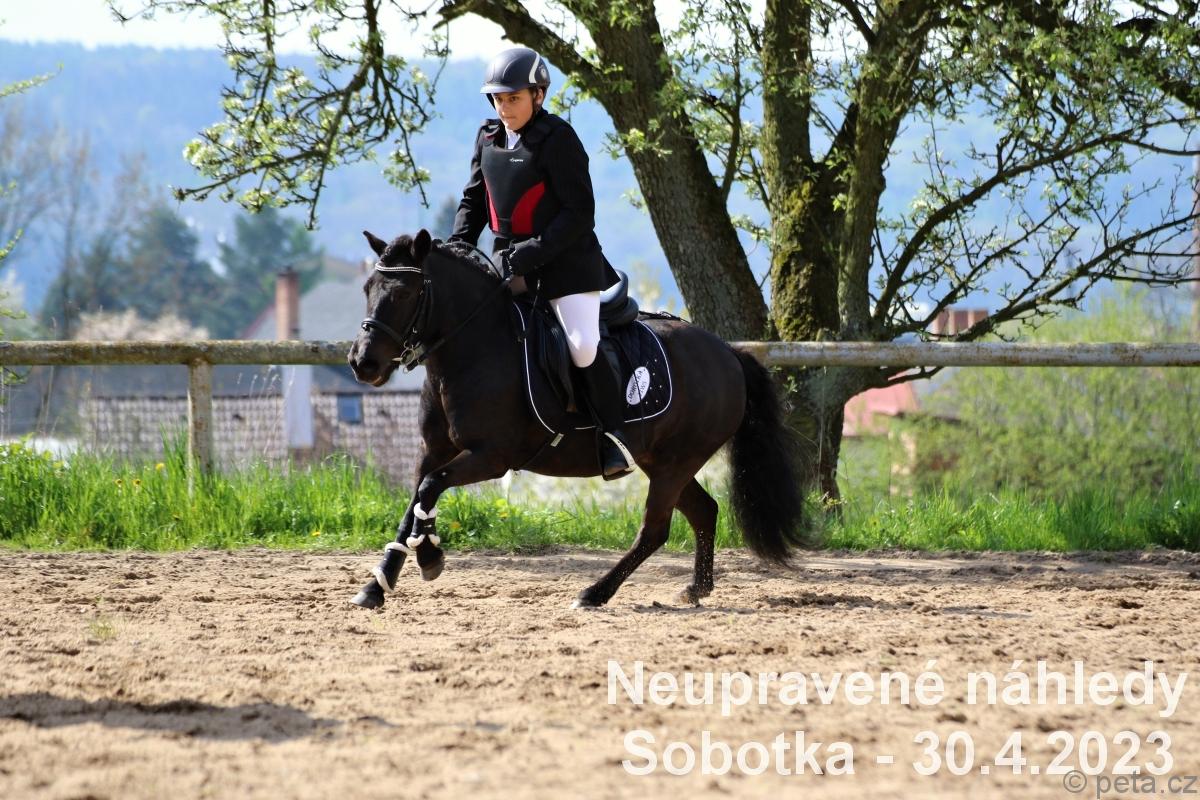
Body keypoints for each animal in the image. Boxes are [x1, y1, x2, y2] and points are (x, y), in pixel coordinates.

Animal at [345, 228, 809, 609]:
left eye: (404, 294)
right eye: (367, 288)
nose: (363, 363)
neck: (472, 349)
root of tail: (728, 352)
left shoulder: (492, 456)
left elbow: (429, 488)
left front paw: (429, 556)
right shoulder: (433, 450)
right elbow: (414, 504)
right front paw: (377, 586)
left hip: (676, 462)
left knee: (656, 529)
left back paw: (595, 593)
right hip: (664, 460)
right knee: (703, 511)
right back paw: (696, 588)